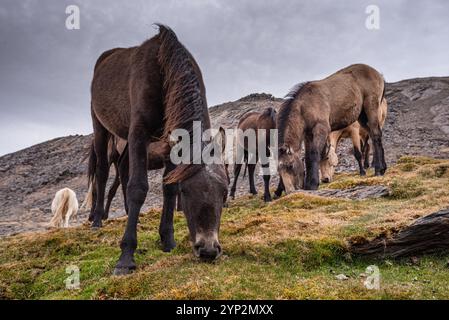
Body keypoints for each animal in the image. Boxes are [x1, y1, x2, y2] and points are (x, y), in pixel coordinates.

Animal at [87, 25, 228, 276]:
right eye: (186, 192)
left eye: (225, 193)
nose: (209, 250)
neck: (166, 72)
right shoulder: (138, 133)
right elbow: (138, 187)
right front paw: (126, 257)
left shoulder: (170, 143)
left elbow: (168, 188)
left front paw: (168, 241)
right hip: (101, 127)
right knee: (103, 172)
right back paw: (96, 220)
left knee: (123, 168)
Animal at [276, 62, 384, 192]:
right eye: (279, 170)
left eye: (290, 166)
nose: (290, 191)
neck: (305, 106)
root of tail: (378, 74)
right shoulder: (308, 135)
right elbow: (307, 157)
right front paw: (309, 185)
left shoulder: (321, 130)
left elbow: (314, 154)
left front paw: (313, 184)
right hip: (362, 117)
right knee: (374, 135)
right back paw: (383, 168)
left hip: (371, 110)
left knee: (376, 135)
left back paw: (378, 170)